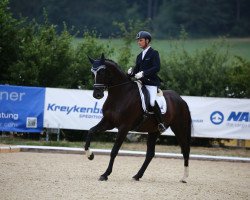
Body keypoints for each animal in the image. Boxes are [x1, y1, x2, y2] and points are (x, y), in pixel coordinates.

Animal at [84, 54, 191, 182]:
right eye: (92, 73)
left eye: (102, 72)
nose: (97, 94)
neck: (121, 94)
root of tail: (181, 99)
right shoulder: (108, 123)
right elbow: (90, 131)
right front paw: (90, 155)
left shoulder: (124, 127)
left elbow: (114, 151)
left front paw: (105, 174)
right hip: (154, 131)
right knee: (150, 154)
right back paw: (137, 175)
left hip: (180, 128)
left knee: (185, 149)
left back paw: (184, 177)